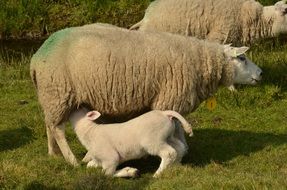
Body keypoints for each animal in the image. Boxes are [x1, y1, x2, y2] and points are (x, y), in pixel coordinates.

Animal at [29, 24, 264, 166]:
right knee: (58, 129)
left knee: (49, 124)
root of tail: (36, 57)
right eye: (242, 58)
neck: (200, 61)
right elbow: (176, 129)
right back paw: (71, 160)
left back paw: (53, 153)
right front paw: (180, 157)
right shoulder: (170, 98)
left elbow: (178, 128)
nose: (261, 73)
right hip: (58, 92)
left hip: (51, 97)